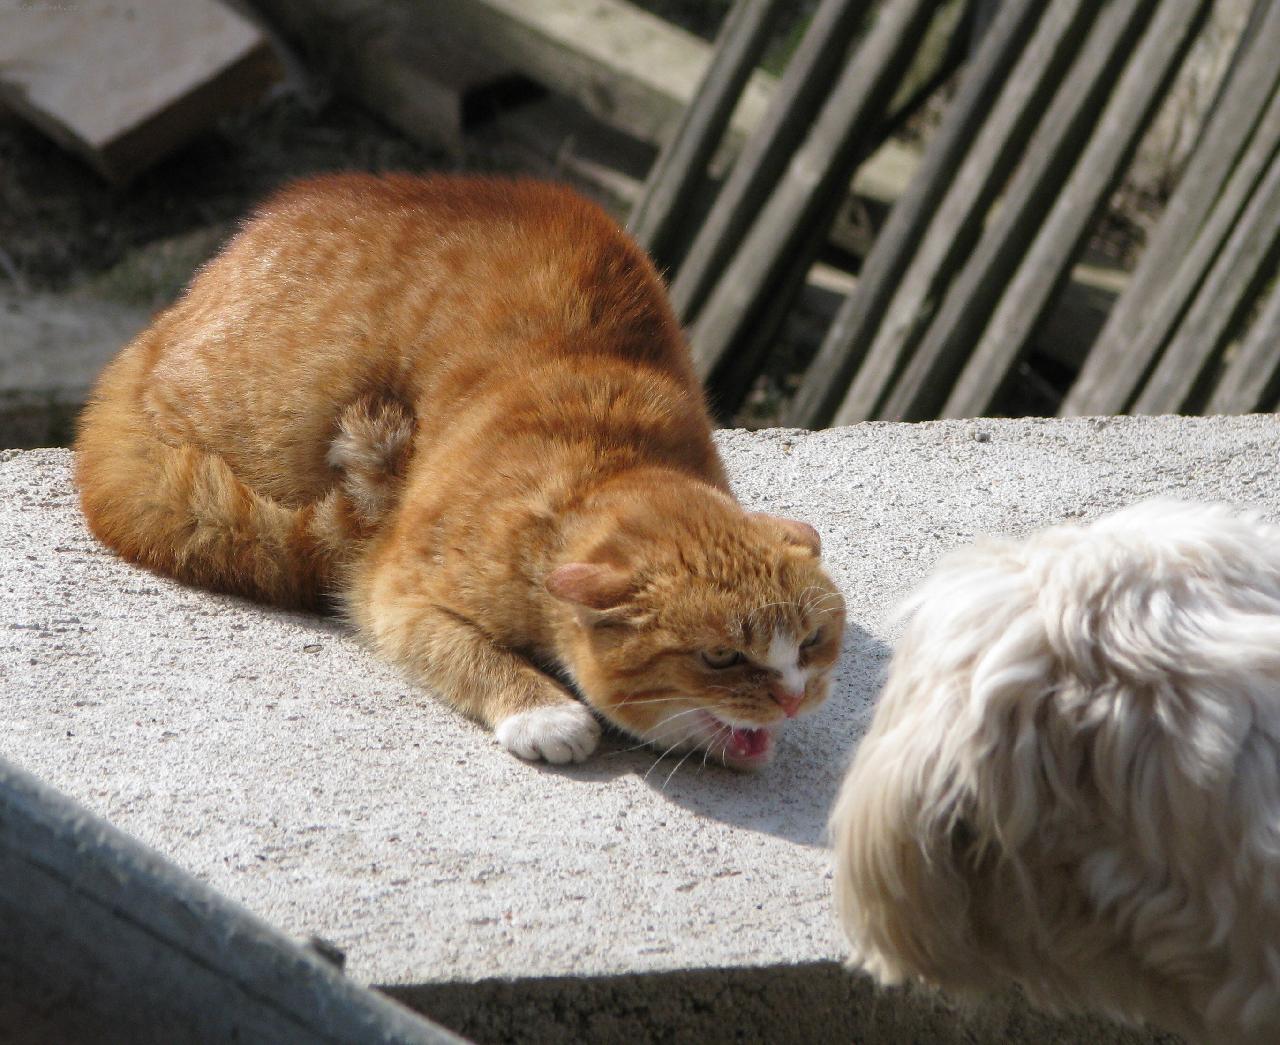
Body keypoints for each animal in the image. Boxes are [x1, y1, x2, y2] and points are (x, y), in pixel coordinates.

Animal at [75, 172, 845, 768]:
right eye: (720, 658)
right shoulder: (395, 590)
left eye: (811, 642)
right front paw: (543, 712)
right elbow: (462, 650)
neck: (609, 453)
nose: (792, 696)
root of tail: (166, 321)